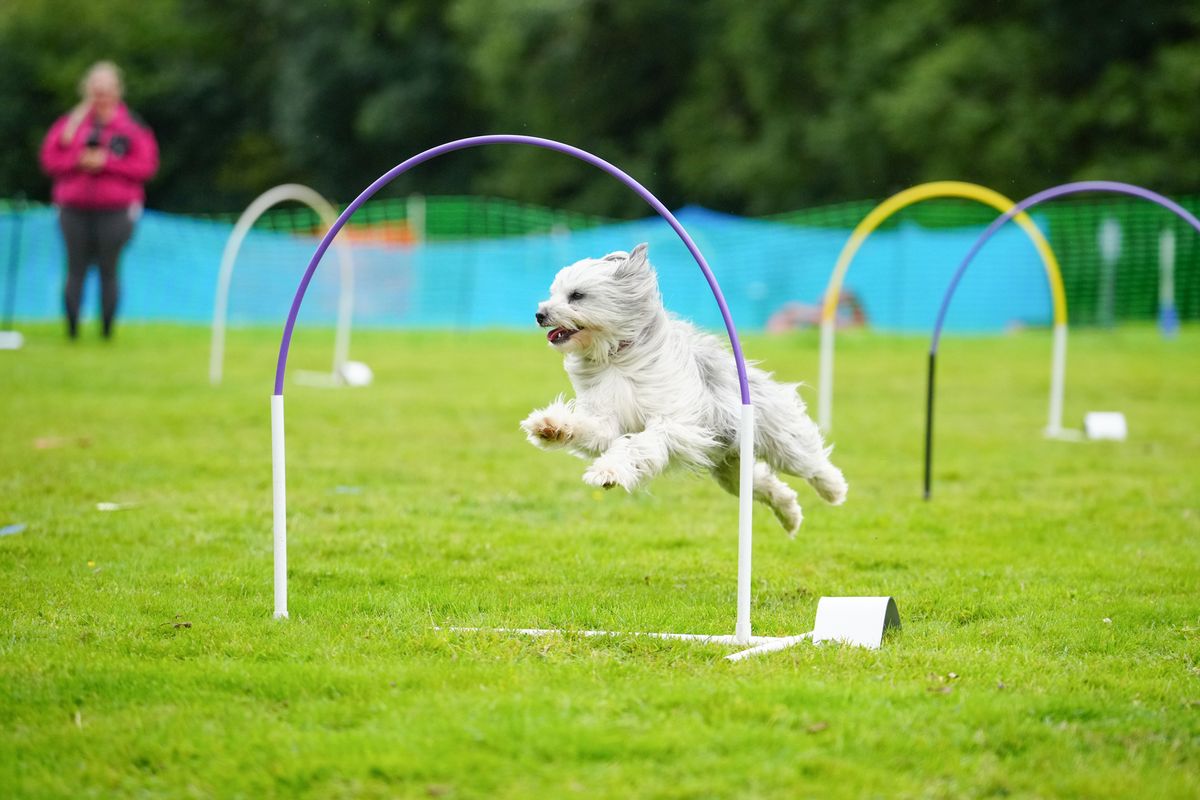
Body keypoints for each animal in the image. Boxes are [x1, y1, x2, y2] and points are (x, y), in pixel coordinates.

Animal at [520, 241, 849, 534]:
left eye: (576, 295)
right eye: (553, 293)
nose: (540, 314)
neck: (617, 357)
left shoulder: (672, 422)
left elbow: (635, 444)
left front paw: (608, 471)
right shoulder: (606, 418)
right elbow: (591, 429)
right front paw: (550, 427)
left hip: (780, 441)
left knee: (811, 463)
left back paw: (835, 490)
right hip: (730, 469)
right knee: (767, 486)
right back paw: (791, 517)